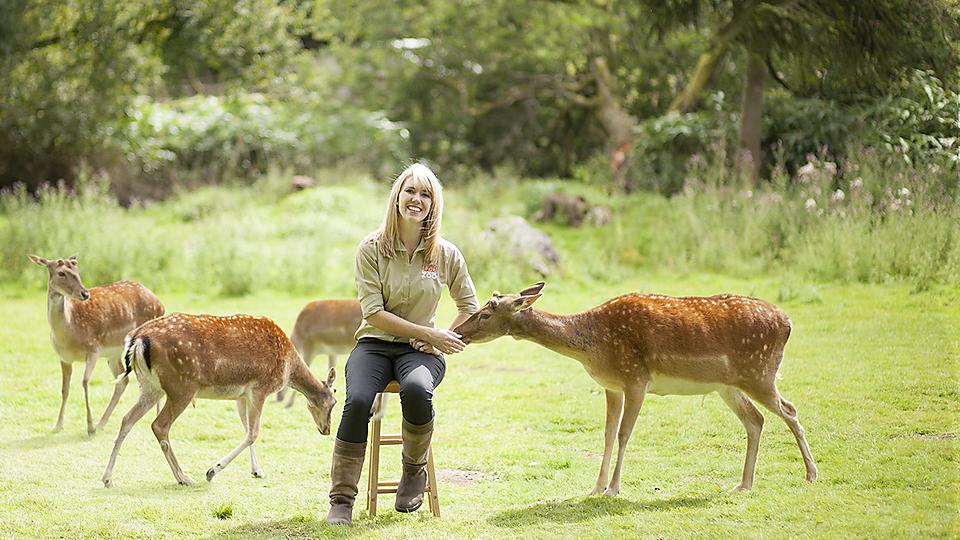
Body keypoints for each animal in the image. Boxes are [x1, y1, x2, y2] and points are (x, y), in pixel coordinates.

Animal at [29, 255, 165, 436]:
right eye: (61, 273)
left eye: (77, 271)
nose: (85, 293)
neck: (68, 332)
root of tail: (161, 304)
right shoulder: (64, 357)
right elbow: (65, 389)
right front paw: (57, 426)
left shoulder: (93, 348)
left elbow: (85, 382)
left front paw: (90, 427)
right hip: (114, 354)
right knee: (123, 380)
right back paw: (102, 424)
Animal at [101, 310, 338, 488]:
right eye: (334, 402)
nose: (326, 429)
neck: (289, 368)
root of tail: (137, 340)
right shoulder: (260, 388)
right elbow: (253, 433)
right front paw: (212, 471)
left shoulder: (242, 395)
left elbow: (246, 429)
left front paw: (257, 471)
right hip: (182, 387)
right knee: (159, 425)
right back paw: (184, 477)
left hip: (150, 386)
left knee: (127, 419)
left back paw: (107, 478)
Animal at [454, 284, 812, 496]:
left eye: (485, 313)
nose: (459, 332)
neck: (593, 346)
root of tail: (789, 323)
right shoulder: (611, 385)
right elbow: (608, 434)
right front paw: (596, 487)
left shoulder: (636, 378)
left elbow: (625, 434)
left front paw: (613, 488)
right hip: (729, 385)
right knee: (755, 420)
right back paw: (743, 484)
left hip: (760, 372)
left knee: (790, 409)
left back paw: (811, 474)